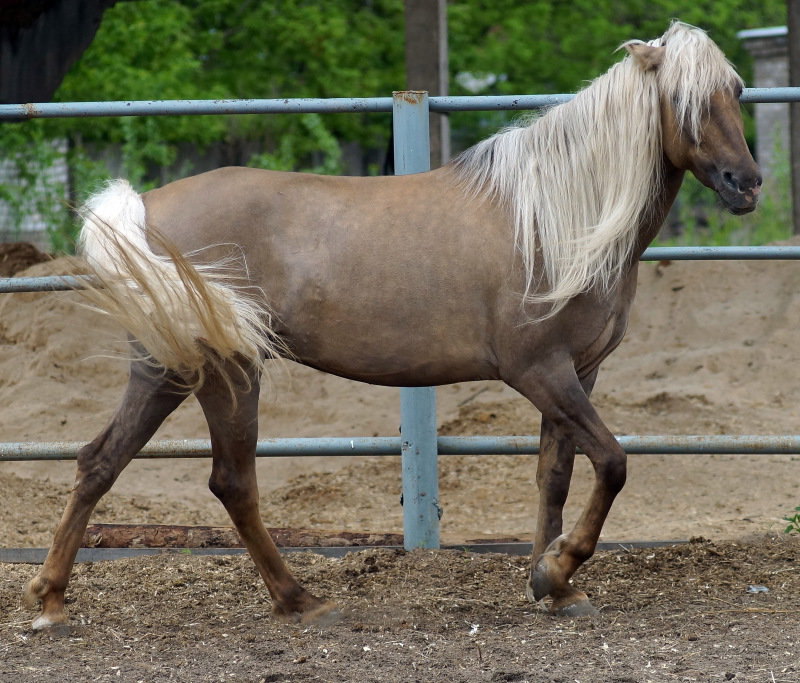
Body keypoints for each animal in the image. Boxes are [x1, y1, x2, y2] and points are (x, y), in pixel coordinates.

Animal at [26, 21, 764, 632]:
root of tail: (146, 207)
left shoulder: (577, 372)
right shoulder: (540, 371)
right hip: (225, 371)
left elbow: (554, 475)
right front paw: (558, 568)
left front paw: (552, 585)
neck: (555, 219)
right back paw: (301, 600)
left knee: (100, 461)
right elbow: (612, 461)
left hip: (165, 369)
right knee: (231, 482)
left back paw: (51, 601)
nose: (747, 183)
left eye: (735, 90)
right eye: (686, 102)